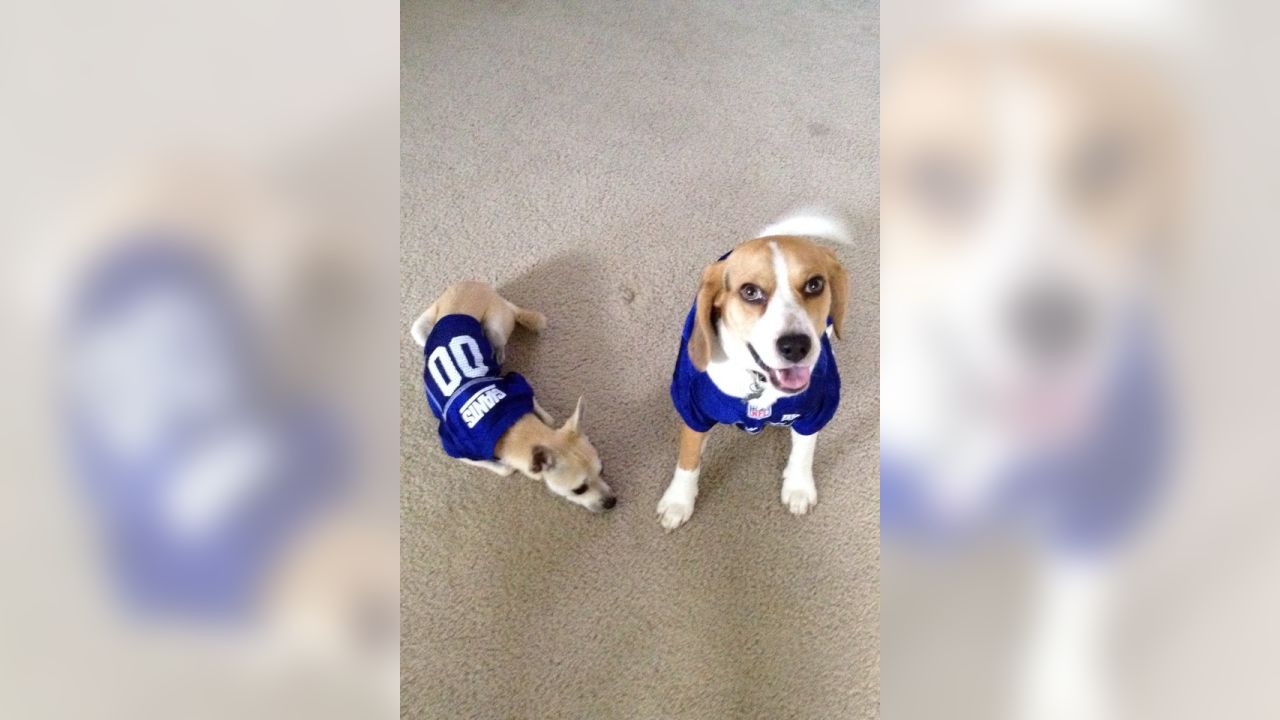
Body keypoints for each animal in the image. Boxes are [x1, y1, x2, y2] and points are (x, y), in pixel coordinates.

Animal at [407, 280, 611, 509]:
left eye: (602, 470)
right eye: (579, 490)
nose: (612, 501)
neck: (512, 424)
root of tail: (472, 283)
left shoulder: (516, 383)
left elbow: (543, 413)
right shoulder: (456, 448)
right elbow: (505, 468)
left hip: (494, 326)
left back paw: (497, 355)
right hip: (420, 329)